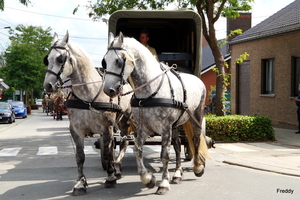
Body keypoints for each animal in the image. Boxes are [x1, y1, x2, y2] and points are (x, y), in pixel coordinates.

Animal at [42, 31, 132, 195]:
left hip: (124, 122)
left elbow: (107, 153)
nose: (48, 85)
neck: (88, 96)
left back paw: (116, 168)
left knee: (123, 142)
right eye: (47, 58)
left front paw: (110, 178)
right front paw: (80, 183)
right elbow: (80, 156)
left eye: (60, 58)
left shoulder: (107, 127)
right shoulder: (76, 129)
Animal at [102, 32, 210, 195]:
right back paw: (177, 174)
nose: (108, 90)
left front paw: (163, 183)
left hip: (195, 116)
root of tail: (196, 78)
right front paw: (148, 179)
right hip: (175, 125)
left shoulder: (164, 127)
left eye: (119, 61)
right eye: (104, 61)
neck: (150, 91)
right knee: (177, 146)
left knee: (196, 139)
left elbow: (164, 155)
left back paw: (197, 167)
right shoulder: (143, 128)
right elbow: (137, 151)